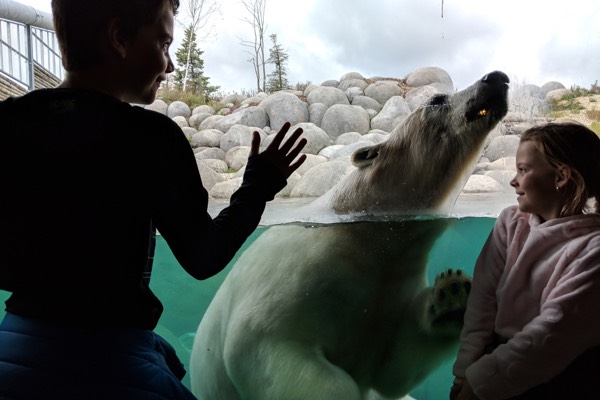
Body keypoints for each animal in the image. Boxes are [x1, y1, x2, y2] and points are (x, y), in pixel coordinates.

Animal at [190, 70, 508, 398]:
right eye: (436, 99)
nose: (496, 78)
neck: (367, 239)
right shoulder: (291, 281)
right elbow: (268, 346)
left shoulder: (391, 289)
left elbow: (394, 372)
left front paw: (453, 296)